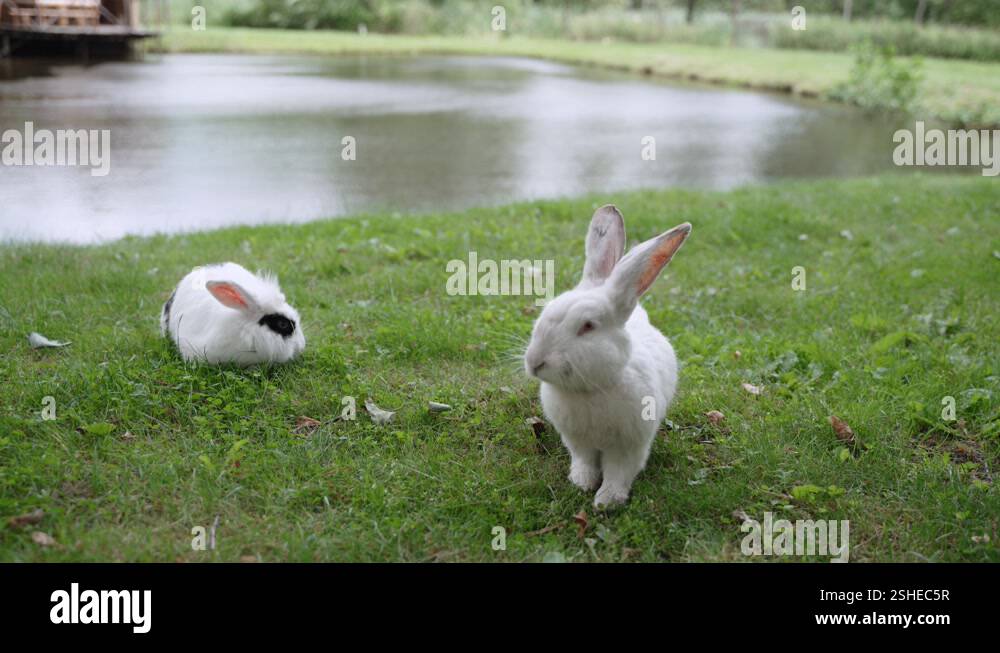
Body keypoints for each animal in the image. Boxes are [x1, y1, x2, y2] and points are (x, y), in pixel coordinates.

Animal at [524, 205, 691, 508]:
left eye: (588, 326)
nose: (534, 362)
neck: (590, 391)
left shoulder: (629, 447)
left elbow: (618, 472)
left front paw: (607, 501)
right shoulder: (578, 442)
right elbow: (585, 462)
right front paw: (581, 482)